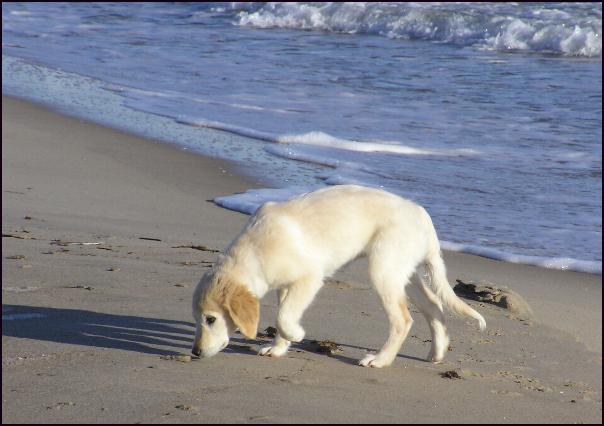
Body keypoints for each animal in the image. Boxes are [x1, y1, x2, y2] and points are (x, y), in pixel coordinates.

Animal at [193, 185, 486, 368]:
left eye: (211, 319)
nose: (195, 353)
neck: (253, 253)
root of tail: (423, 216)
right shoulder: (285, 285)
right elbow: (283, 314)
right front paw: (278, 348)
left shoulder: (309, 278)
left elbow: (284, 316)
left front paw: (296, 335)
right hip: (405, 273)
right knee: (434, 306)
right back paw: (437, 353)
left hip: (383, 270)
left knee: (403, 320)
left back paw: (380, 360)